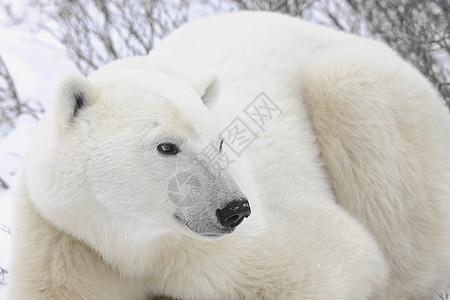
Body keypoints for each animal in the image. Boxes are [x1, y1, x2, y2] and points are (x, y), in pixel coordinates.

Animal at [7, 10, 450, 298]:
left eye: (220, 142)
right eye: (167, 146)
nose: (234, 209)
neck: (131, 244)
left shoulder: (224, 252)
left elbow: (339, 259)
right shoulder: (61, 239)